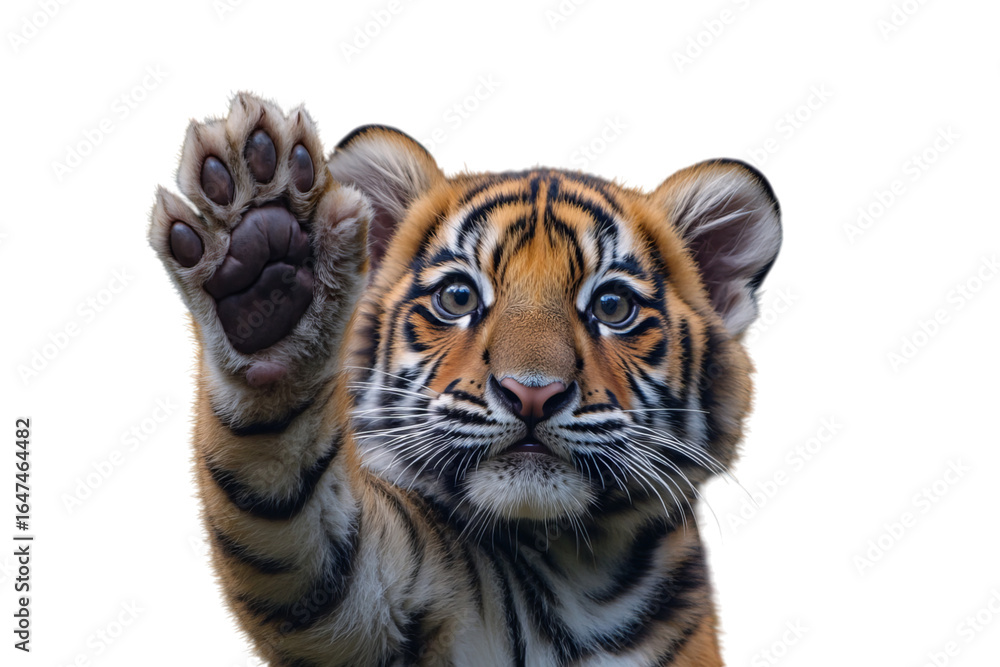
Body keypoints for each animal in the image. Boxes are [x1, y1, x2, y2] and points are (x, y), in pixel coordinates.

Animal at [148, 92, 781, 666]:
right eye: (458, 298)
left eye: (612, 307)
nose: (532, 393)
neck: (578, 579)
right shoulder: (373, 598)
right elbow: (290, 504)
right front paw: (262, 253)